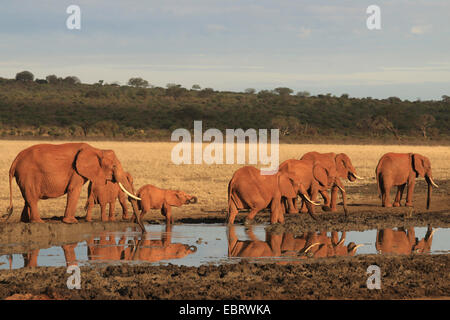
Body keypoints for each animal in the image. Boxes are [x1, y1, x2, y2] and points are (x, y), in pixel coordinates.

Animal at [5, 142, 144, 230]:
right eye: (114, 166)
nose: (142, 230)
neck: (97, 149)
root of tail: (14, 162)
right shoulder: (76, 170)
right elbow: (74, 189)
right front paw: (71, 222)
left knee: (27, 198)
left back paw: (25, 221)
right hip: (27, 174)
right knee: (32, 197)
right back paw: (38, 222)